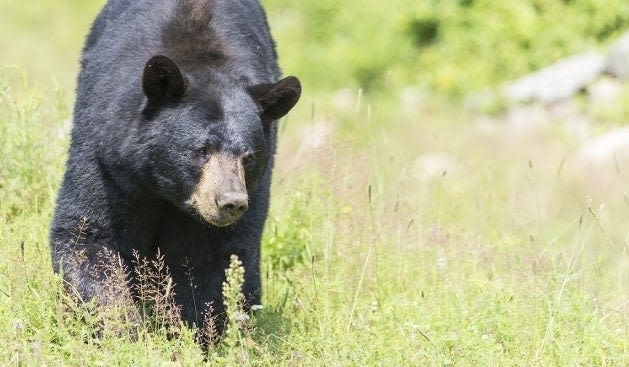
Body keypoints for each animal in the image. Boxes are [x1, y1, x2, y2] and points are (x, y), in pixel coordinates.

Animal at [50, 0, 300, 334]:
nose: (231, 202)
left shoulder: (253, 188)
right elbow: (88, 232)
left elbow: (215, 259)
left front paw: (196, 332)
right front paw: (124, 327)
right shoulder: (107, 155)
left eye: (248, 157)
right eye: (202, 151)